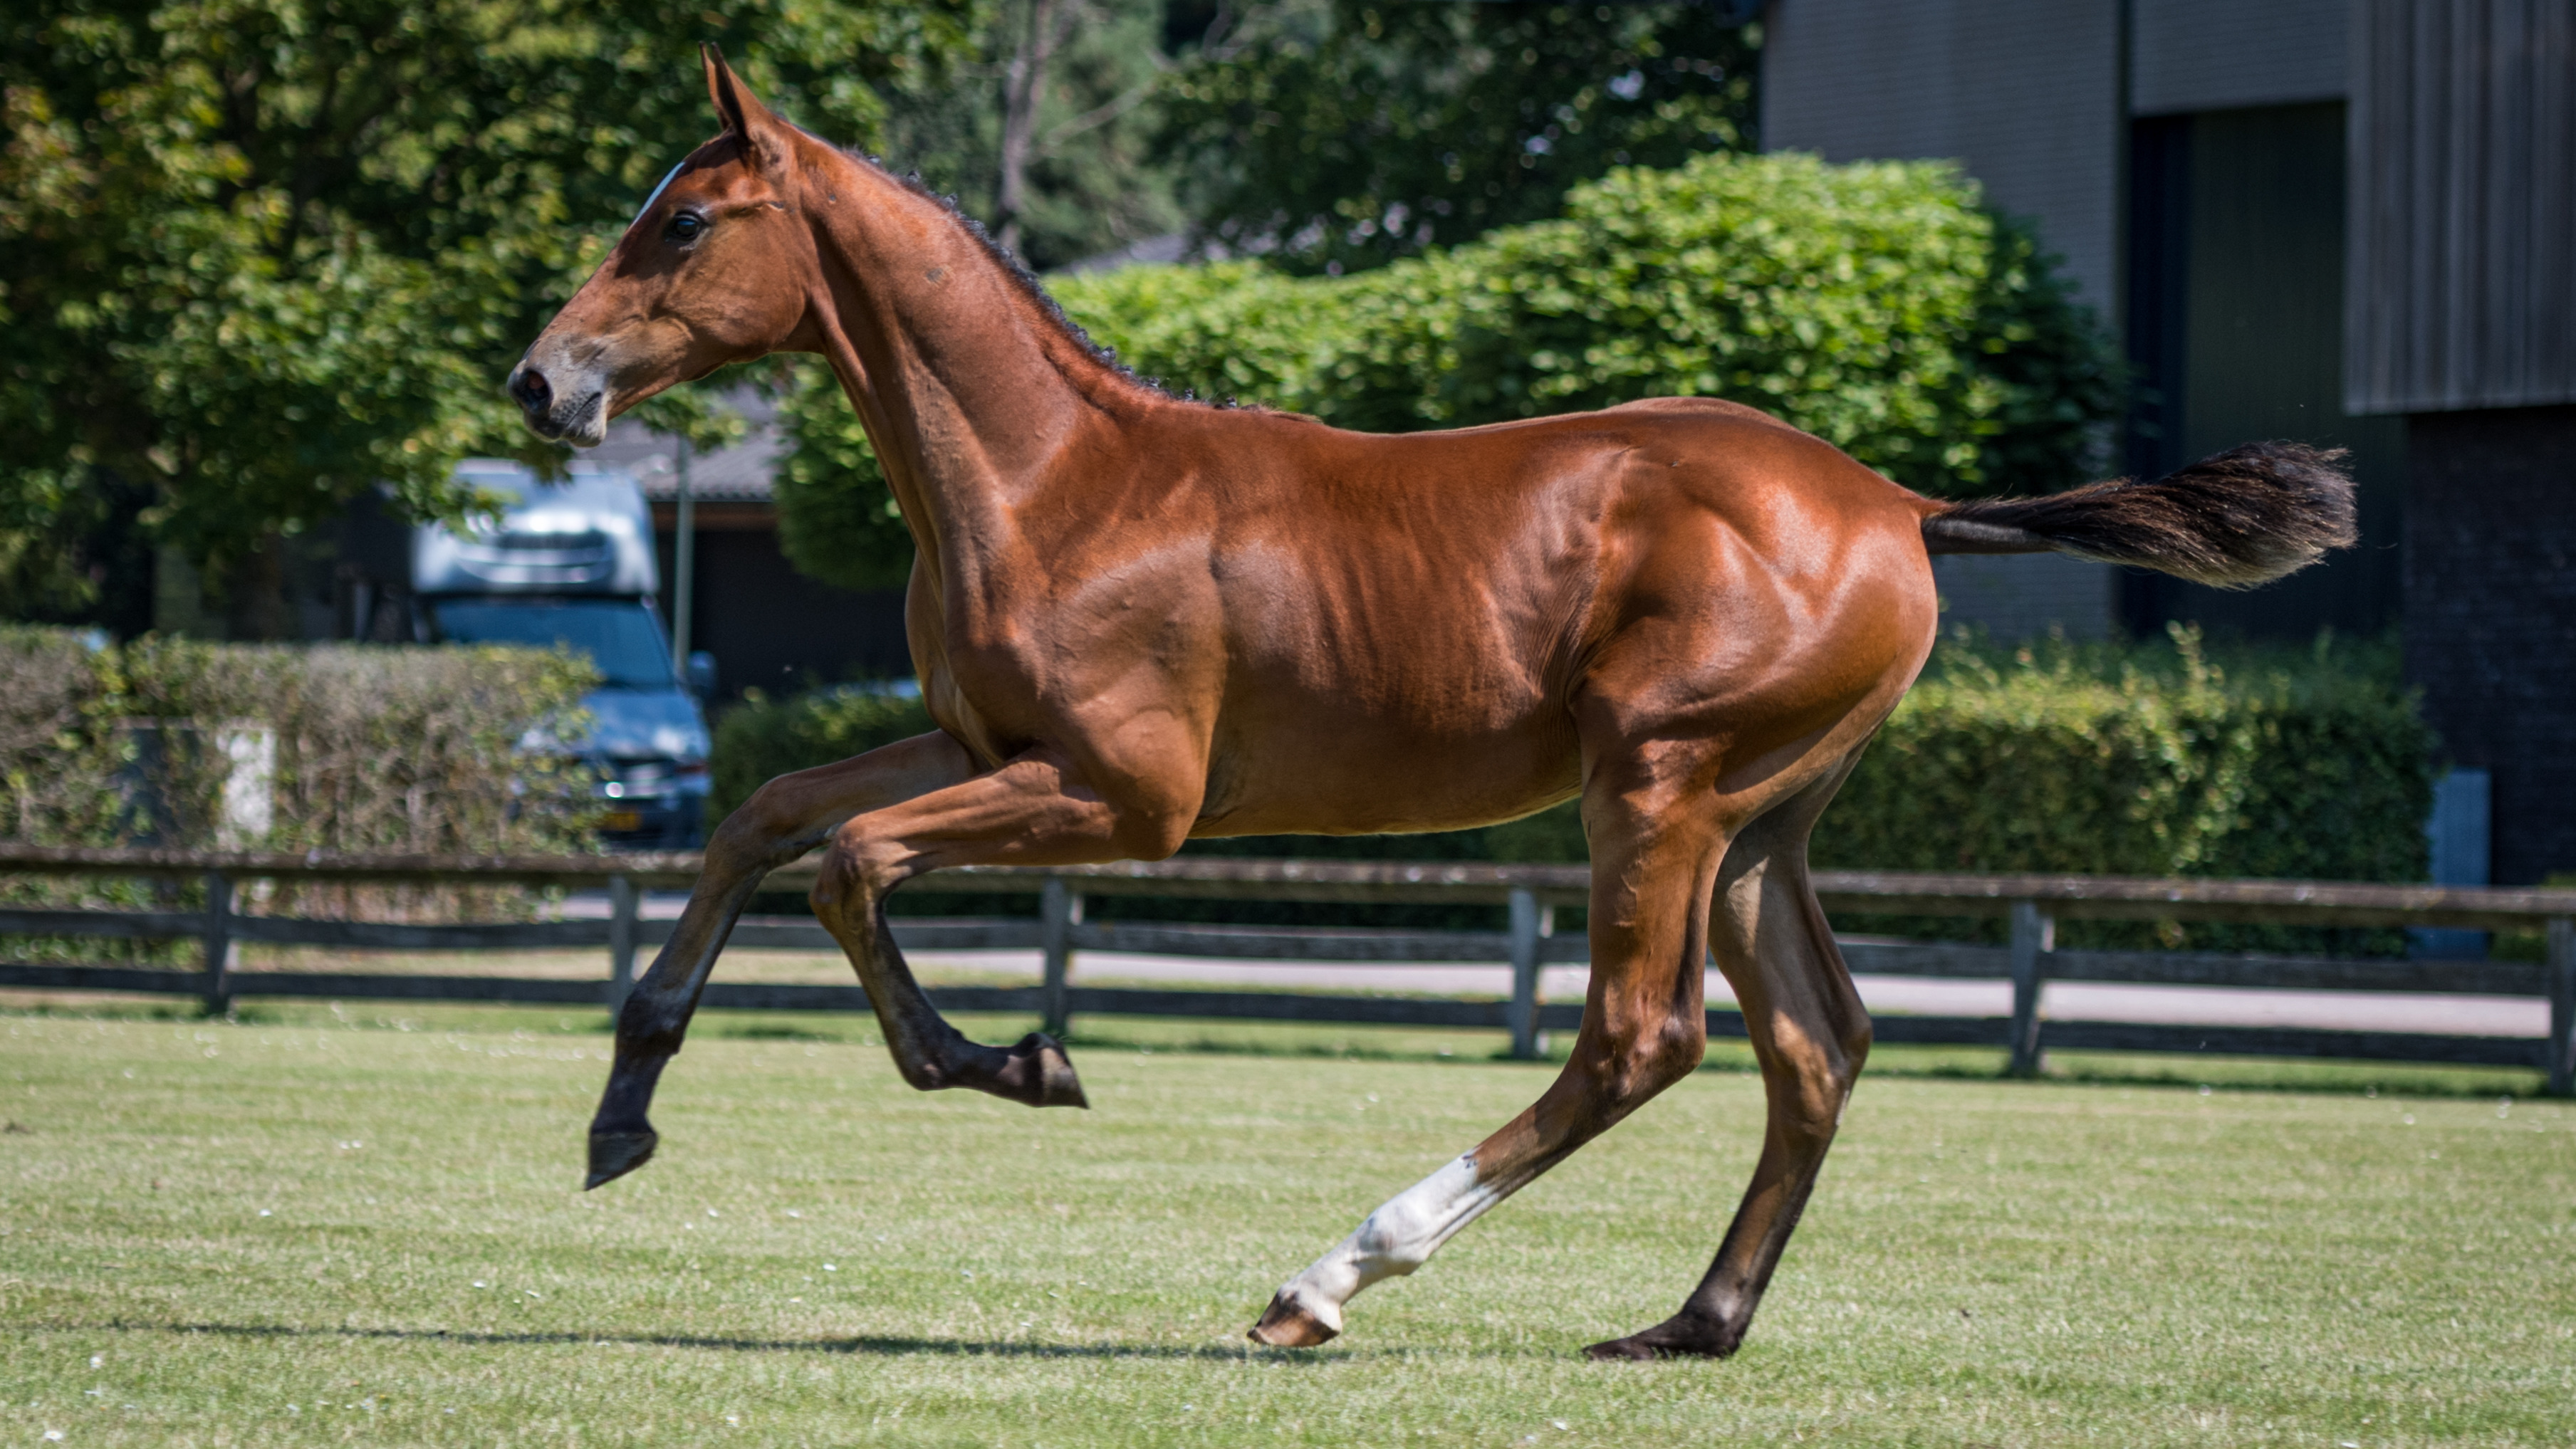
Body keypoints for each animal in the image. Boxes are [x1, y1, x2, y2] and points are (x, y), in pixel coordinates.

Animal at [508, 46, 2354, 1359]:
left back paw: (1326, 1279)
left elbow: (848, 867)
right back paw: (1688, 1324)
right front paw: (619, 1109)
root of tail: (1900, 504)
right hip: (1760, 827)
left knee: (1637, 1039)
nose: (540, 381)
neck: (1051, 482)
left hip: (1657, 789)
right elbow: (761, 820)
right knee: (1814, 1044)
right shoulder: (981, 745)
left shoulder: (1119, 797)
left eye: (682, 222)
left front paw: (1016, 1061)